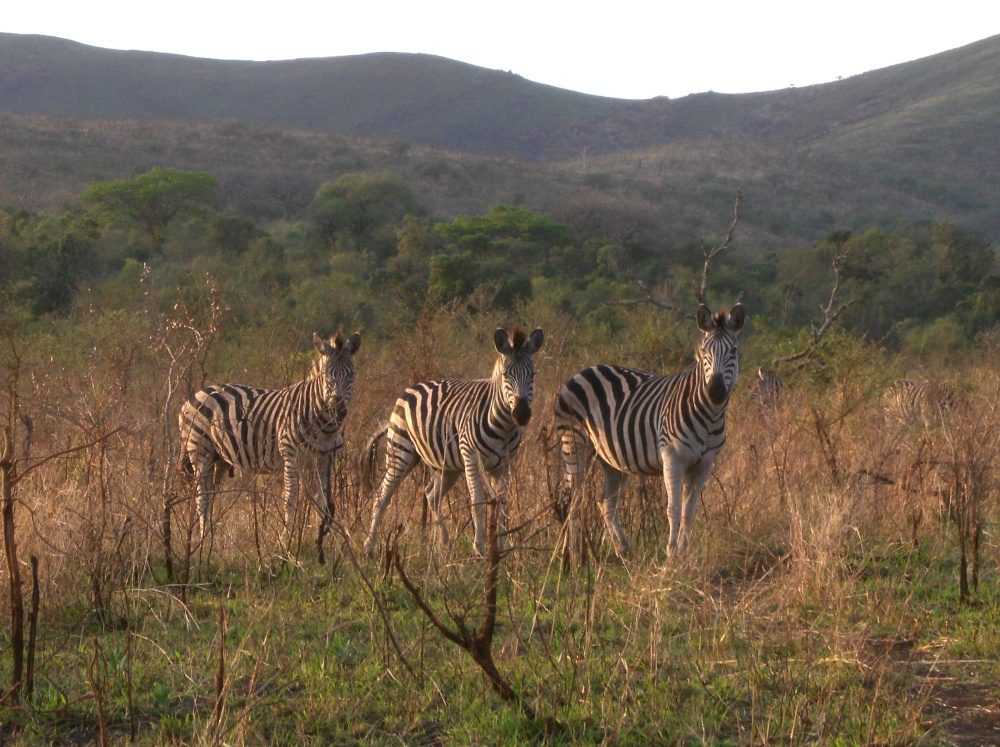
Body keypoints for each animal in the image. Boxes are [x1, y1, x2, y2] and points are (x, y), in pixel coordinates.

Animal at [178, 330, 362, 552]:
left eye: (352, 374)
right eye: (327, 374)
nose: (338, 410)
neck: (324, 425)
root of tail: (195, 394)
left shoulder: (326, 458)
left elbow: (323, 502)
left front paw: (321, 542)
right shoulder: (290, 455)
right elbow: (291, 498)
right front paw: (285, 541)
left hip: (219, 457)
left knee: (211, 492)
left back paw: (211, 538)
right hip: (199, 450)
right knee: (201, 494)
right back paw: (204, 541)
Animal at [364, 324, 544, 560]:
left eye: (533, 374)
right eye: (506, 375)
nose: (522, 414)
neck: (503, 425)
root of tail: (412, 387)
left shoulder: (504, 464)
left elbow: (502, 505)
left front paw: (501, 549)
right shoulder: (471, 458)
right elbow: (477, 504)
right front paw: (479, 550)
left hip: (445, 467)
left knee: (431, 495)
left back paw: (445, 543)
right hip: (400, 452)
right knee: (381, 496)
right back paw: (369, 548)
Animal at [552, 304, 748, 560]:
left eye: (733, 351)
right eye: (705, 351)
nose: (715, 391)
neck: (709, 416)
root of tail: (584, 371)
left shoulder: (705, 465)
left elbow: (689, 511)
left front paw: (683, 555)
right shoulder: (673, 457)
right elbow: (674, 508)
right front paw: (671, 555)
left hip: (611, 458)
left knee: (606, 501)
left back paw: (623, 550)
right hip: (573, 443)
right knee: (573, 500)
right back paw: (573, 556)